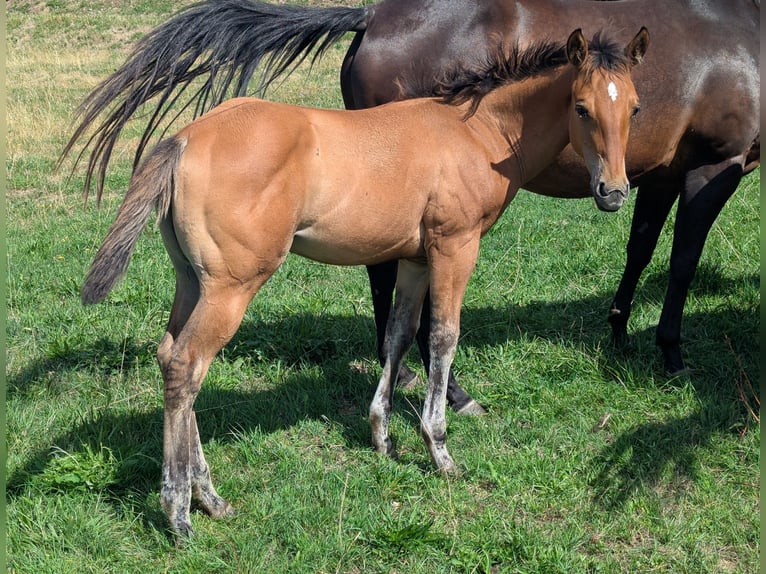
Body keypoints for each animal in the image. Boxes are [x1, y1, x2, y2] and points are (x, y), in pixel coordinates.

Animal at [80, 29, 649, 539]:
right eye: (581, 107)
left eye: (635, 109)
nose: (614, 192)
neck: (476, 133)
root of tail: (185, 138)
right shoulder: (455, 247)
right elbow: (442, 338)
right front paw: (439, 449)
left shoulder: (416, 259)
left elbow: (398, 335)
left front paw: (383, 438)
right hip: (231, 286)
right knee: (188, 366)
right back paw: (179, 511)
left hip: (192, 282)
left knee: (169, 356)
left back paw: (210, 499)